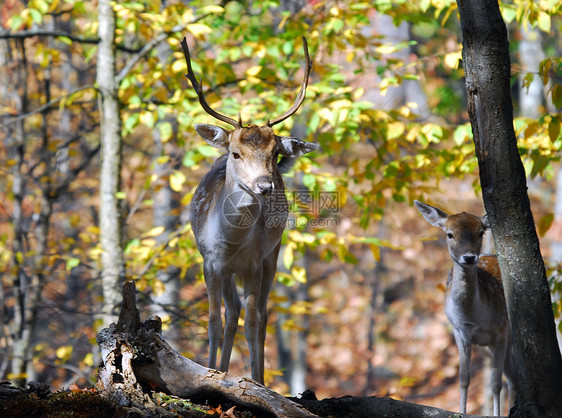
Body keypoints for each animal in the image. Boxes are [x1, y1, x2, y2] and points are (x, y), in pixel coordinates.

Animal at [182, 37, 318, 384]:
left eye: (275, 153)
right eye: (236, 153)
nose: (265, 185)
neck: (231, 243)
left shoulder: (255, 262)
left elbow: (254, 321)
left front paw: (257, 381)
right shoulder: (210, 262)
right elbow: (214, 321)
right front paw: (209, 371)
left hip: (273, 253)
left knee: (260, 315)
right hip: (230, 271)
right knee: (232, 312)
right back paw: (222, 369)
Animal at [414, 200, 516, 414]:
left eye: (481, 232)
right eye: (449, 234)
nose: (469, 257)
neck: (474, 317)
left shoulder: (501, 329)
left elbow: (495, 383)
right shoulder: (459, 332)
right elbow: (463, 379)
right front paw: (461, 412)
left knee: (512, 379)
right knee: (514, 377)